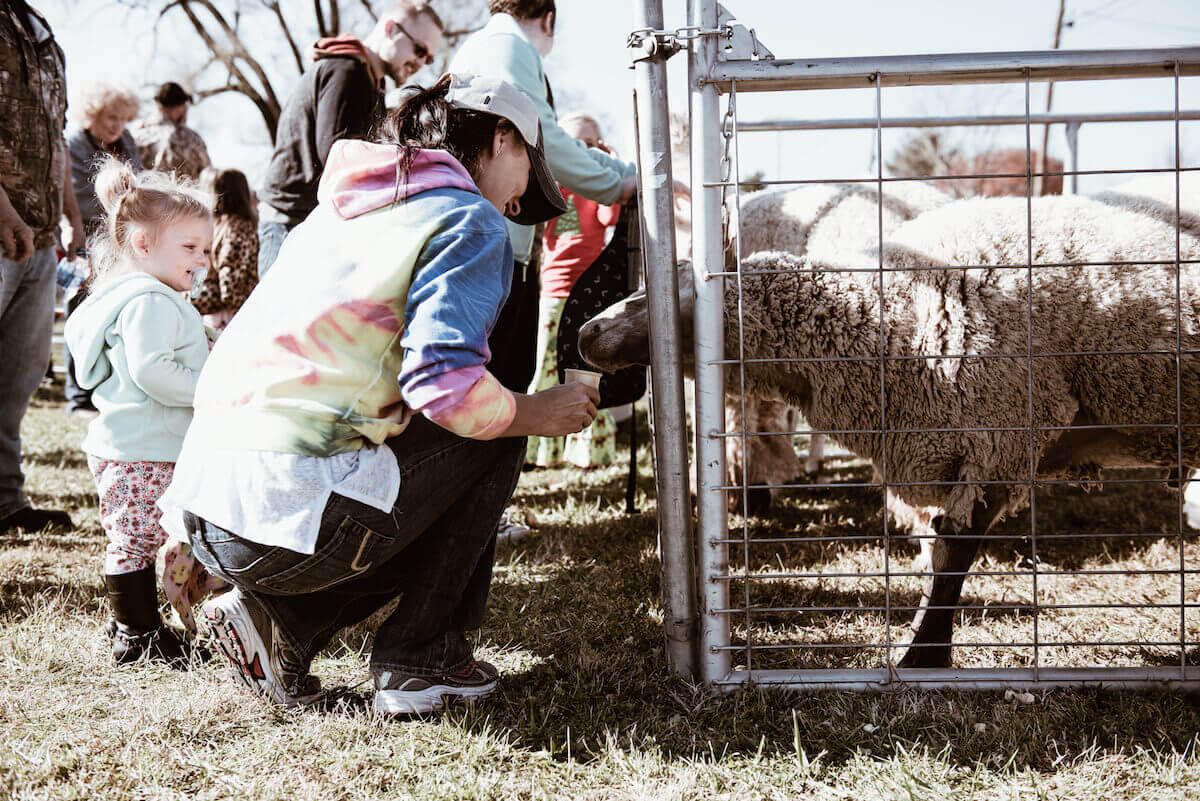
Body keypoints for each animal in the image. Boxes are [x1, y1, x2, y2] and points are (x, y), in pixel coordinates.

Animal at [588, 190, 1200, 666]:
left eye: (670, 289)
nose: (584, 333)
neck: (883, 318)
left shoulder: (1000, 437)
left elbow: (952, 553)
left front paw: (924, 653)